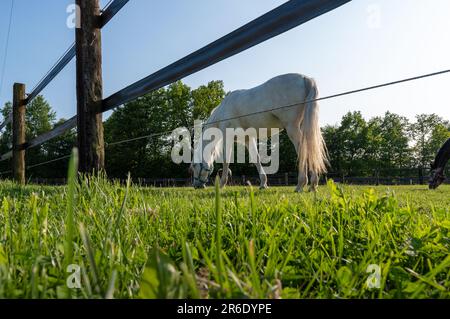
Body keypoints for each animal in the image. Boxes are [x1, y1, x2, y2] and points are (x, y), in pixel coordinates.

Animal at [188, 73, 328, 192]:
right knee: (311, 147)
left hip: (292, 128)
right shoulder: (248, 139)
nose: (196, 185)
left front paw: (222, 184)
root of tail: (305, 78)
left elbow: (226, 161)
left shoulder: (228, 139)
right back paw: (313, 185)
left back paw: (300, 185)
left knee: (303, 150)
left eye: (194, 166)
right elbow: (256, 159)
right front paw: (263, 184)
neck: (222, 112)